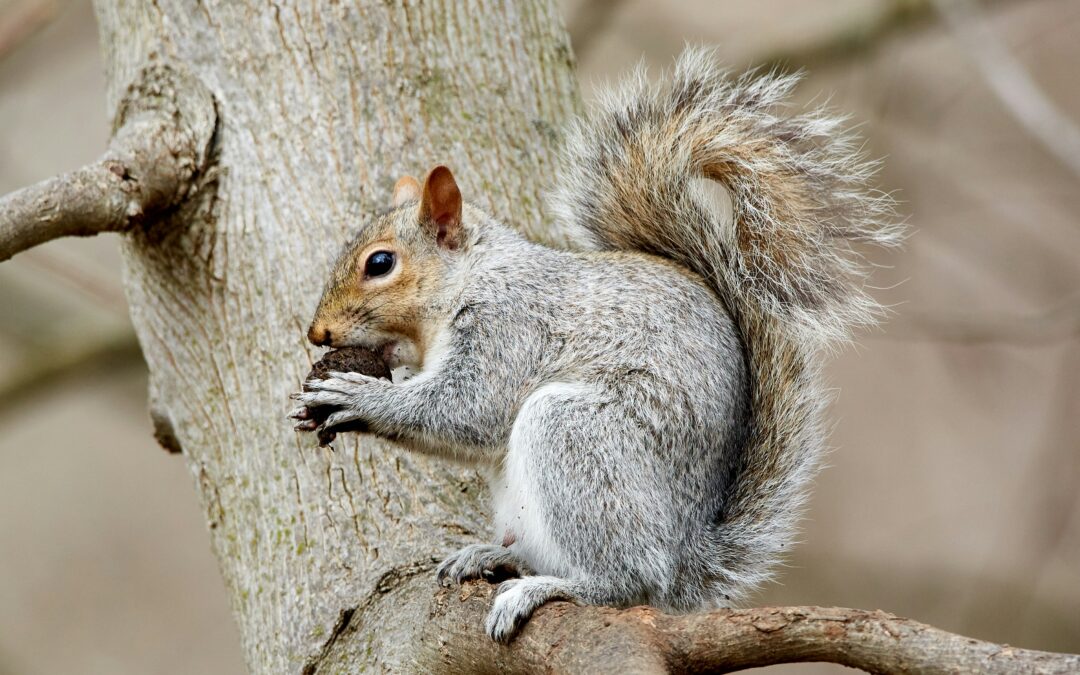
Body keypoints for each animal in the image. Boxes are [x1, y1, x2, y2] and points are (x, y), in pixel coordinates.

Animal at [290, 49, 899, 643]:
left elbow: (469, 410)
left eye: (380, 263)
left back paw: (550, 588)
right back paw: (495, 557)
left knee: (626, 581)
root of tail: (685, 554)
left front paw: (357, 397)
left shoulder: (510, 327)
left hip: (580, 440)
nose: (317, 334)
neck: (472, 280)